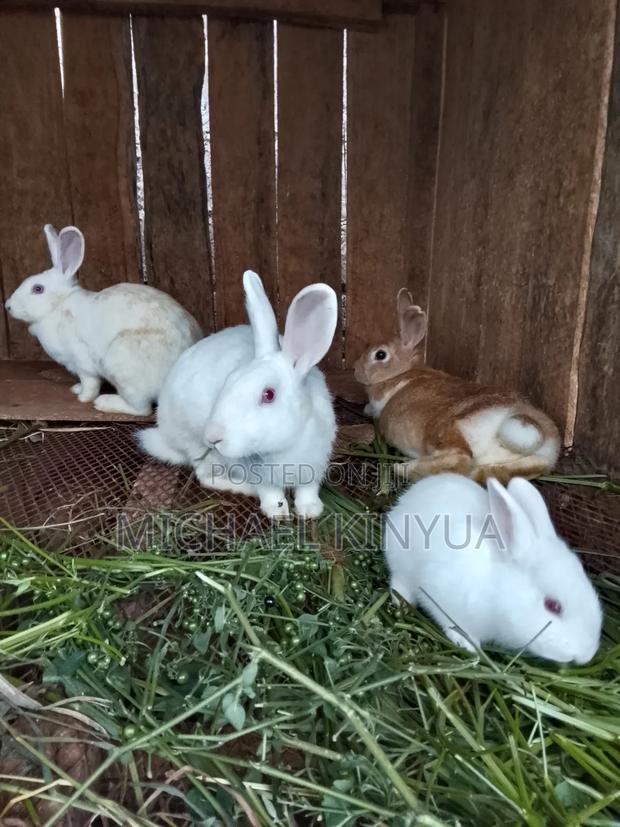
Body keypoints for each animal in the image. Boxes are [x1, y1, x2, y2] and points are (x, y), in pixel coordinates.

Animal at [5, 224, 202, 416]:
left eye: (37, 289)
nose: (8, 306)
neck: (58, 306)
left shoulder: (82, 362)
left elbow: (90, 383)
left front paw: (83, 397)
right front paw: (76, 389)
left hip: (123, 368)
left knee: (142, 409)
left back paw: (105, 403)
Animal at [138, 270, 338, 520]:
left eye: (269, 394)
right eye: (229, 380)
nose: (213, 436)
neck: (285, 446)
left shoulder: (315, 464)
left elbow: (308, 490)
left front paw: (310, 510)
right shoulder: (260, 476)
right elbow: (270, 492)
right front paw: (278, 512)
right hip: (199, 448)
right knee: (206, 476)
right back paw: (244, 487)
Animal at [353, 288, 561, 483]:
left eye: (380, 355)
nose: (356, 370)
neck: (402, 372)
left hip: (447, 428)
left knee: (459, 458)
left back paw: (403, 468)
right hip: (535, 459)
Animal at [384, 473, 602, 663]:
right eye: (552, 606)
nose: (587, 655)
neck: (497, 590)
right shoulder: (442, 593)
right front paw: (468, 644)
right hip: (400, 560)